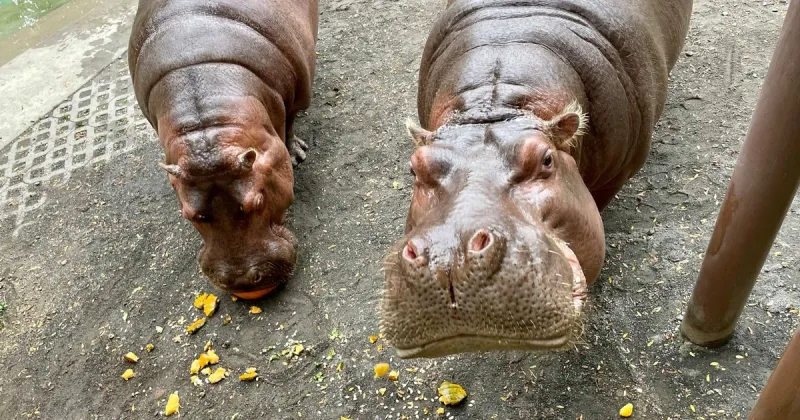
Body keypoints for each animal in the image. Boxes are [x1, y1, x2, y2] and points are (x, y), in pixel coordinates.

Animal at [128, 0, 318, 299]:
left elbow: (289, 123)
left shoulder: (297, 98)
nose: (240, 280)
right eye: (189, 213)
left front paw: (296, 155)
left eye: (258, 201)